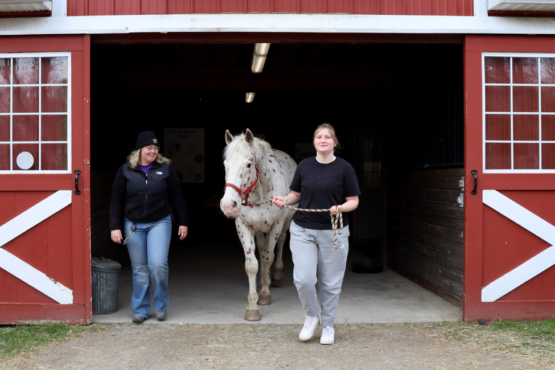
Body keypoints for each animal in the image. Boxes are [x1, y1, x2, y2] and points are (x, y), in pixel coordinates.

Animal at [222, 129, 300, 320]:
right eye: (225, 164)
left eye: (249, 165)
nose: (228, 205)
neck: (260, 194)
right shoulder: (244, 227)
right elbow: (252, 265)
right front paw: (252, 306)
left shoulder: (276, 225)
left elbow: (268, 257)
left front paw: (265, 294)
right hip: (259, 230)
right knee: (263, 247)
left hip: (285, 224)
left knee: (279, 245)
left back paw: (276, 276)